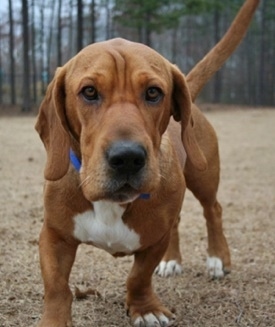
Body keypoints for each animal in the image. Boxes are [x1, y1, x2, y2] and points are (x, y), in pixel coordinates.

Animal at [35, 1, 260, 326]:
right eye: (89, 91)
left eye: (153, 92)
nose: (127, 158)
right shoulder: (54, 236)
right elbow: (56, 287)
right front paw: (54, 319)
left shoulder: (155, 240)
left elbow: (138, 277)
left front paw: (145, 308)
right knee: (179, 221)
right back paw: (172, 261)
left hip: (203, 179)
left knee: (213, 211)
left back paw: (218, 258)